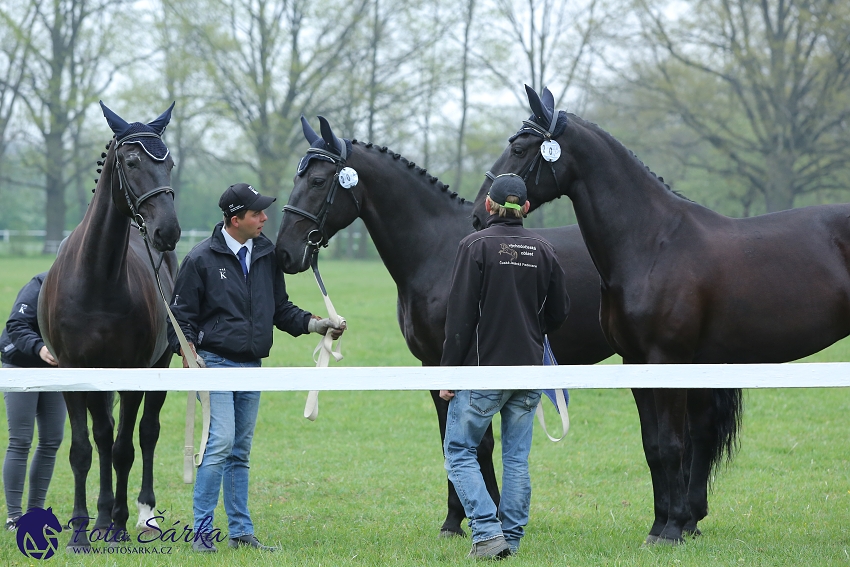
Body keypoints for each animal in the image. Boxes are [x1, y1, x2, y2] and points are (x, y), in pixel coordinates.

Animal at [39, 103, 181, 552]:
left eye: (169, 163)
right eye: (132, 162)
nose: (168, 231)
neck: (97, 278)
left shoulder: (134, 371)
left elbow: (123, 449)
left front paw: (116, 526)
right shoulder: (71, 371)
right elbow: (85, 449)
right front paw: (82, 531)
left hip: (161, 365)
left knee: (146, 434)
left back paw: (142, 514)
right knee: (103, 436)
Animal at [274, 116, 612, 536]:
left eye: (319, 181)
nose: (283, 253)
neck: (438, 251)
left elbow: (477, 443)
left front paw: (487, 513)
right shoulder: (433, 365)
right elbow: (447, 437)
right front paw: (454, 519)